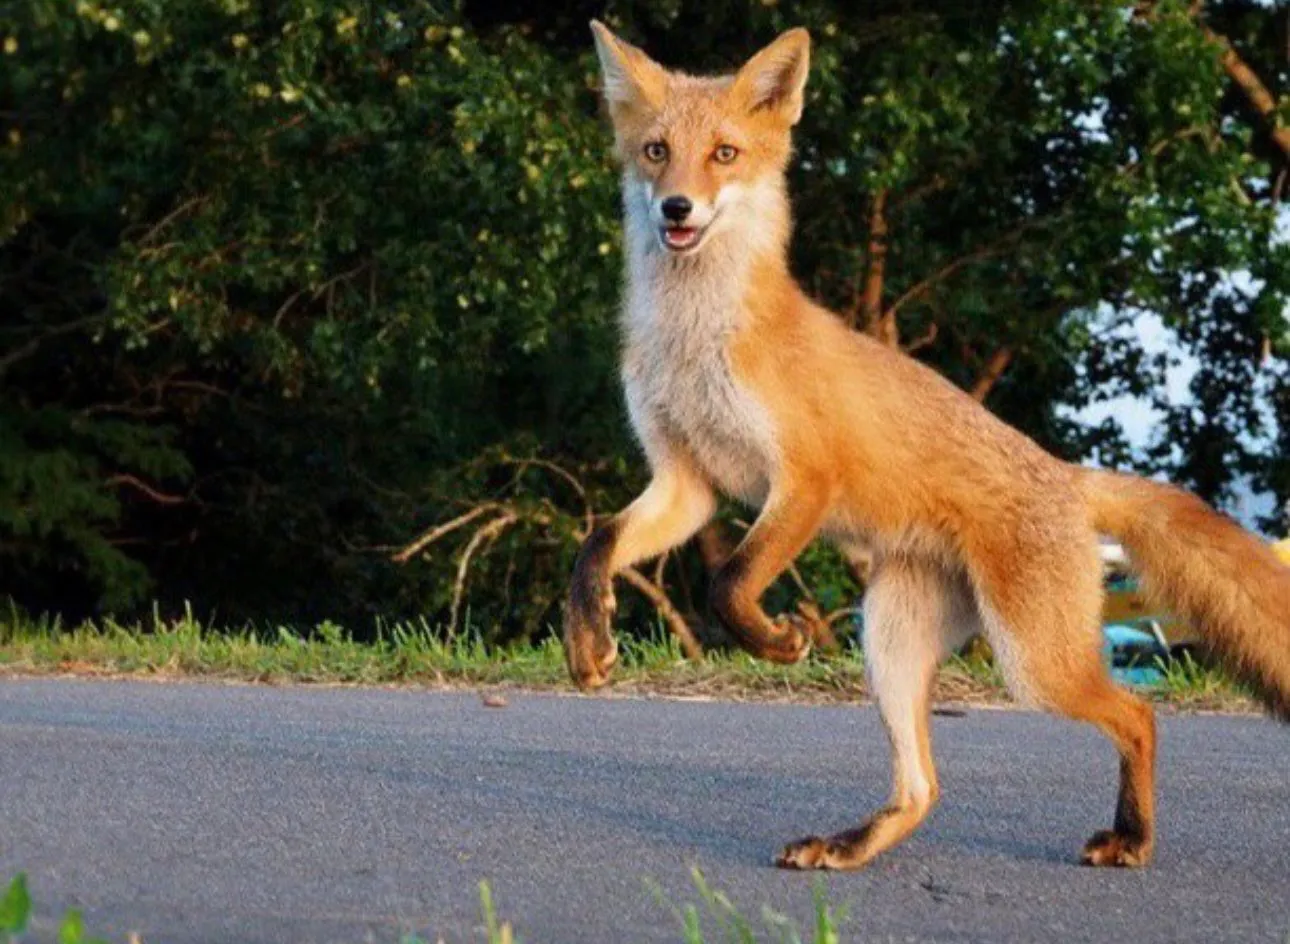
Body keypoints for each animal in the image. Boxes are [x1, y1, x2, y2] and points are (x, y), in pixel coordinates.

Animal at [563, 20, 1290, 871]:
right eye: (655, 151)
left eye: (724, 154)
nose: (677, 207)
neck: (696, 342)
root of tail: (1066, 475)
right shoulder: (688, 482)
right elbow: (597, 543)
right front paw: (589, 639)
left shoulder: (805, 478)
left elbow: (727, 583)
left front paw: (773, 642)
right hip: (893, 644)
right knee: (924, 789)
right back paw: (849, 845)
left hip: (1033, 662)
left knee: (1140, 714)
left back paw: (1132, 838)